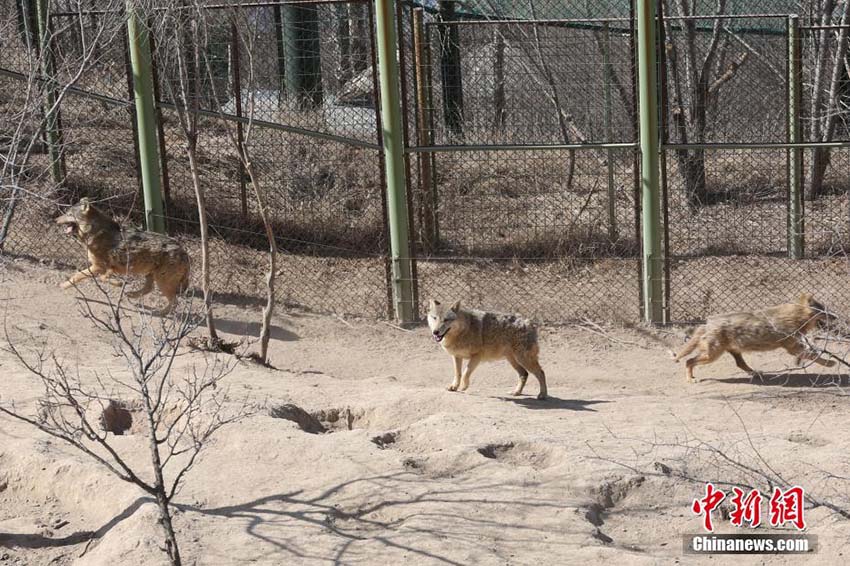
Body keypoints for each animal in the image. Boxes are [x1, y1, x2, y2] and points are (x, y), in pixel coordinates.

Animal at [55, 199, 190, 316]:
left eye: (69, 214)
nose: (55, 220)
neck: (94, 231)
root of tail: (184, 251)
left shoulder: (98, 267)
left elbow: (78, 276)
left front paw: (63, 285)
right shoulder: (108, 268)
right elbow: (102, 278)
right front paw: (118, 283)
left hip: (162, 281)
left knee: (174, 301)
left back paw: (160, 313)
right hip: (151, 275)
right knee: (149, 289)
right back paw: (131, 295)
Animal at [668, 296, 836, 384]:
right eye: (824, 311)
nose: (836, 316)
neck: (795, 315)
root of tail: (707, 323)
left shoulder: (796, 346)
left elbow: (811, 354)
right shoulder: (792, 347)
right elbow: (815, 356)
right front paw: (831, 363)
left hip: (729, 352)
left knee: (741, 364)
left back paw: (757, 374)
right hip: (712, 355)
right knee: (688, 361)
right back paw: (691, 379)